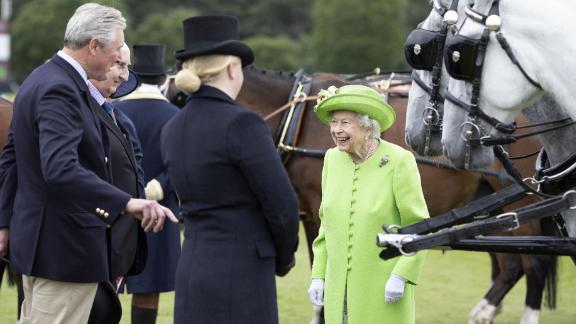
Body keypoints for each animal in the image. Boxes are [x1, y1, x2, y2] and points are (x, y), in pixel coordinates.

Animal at [234, 66, 560, 318]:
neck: (295, 116)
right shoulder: (312, 215)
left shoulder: (316, 209)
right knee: (511, 263)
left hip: (523, 199)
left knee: (536, 263)